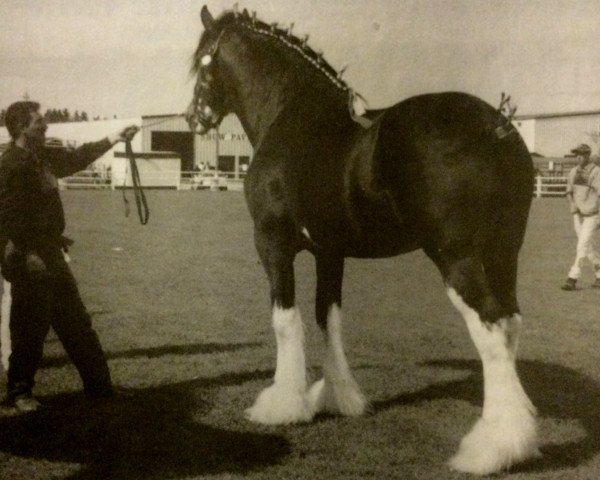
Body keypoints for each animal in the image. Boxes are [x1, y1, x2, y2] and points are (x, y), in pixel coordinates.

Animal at [186, 5, 540, 474]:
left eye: (203, 62)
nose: (193, 117)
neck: (290, 115)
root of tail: (495, 126)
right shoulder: (330, 252)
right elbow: (328, 317)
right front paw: (338, 398)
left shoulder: (272, 245)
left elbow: (286, 320)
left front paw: (281, 405)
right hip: (504, 254)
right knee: (511, 324)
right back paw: (520, 439)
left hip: (458, 259)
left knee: (492, 329)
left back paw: (491, 449)